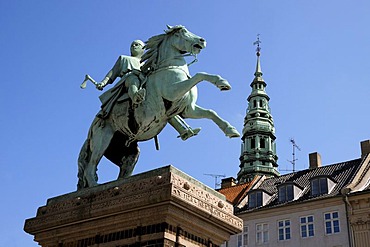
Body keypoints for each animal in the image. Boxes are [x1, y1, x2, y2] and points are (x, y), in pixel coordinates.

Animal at [77, 25, 240, 189]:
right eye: (182, 32)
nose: (202, 40)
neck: (170, 67)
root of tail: (92, 127)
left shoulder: (188, 109)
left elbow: (211, 112)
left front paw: (231, 130)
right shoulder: (174, 91)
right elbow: (200, 75)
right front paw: (222, 82)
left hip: (129, 152)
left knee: (122, 171)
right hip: (102, 140)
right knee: (90, 167)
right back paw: (96, 187)